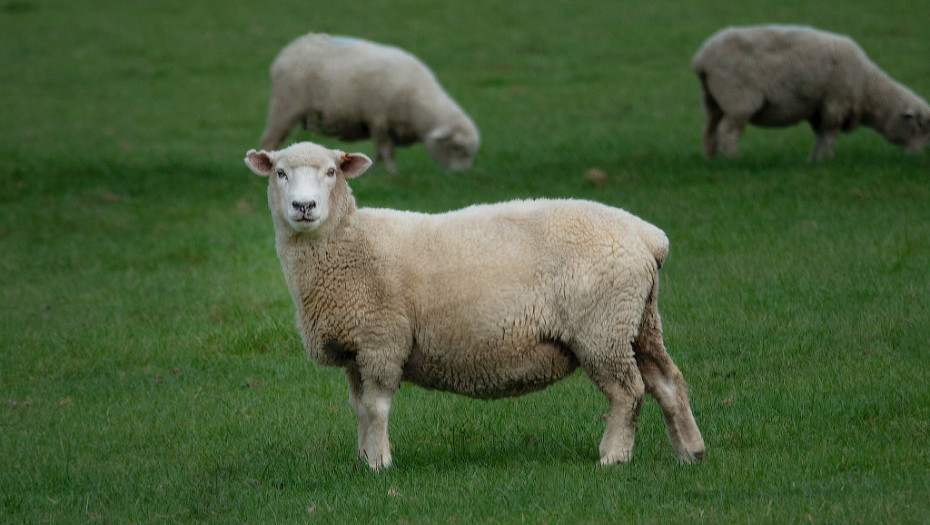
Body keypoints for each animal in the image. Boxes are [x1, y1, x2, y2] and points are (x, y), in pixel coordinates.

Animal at [241, 140, 704, 470]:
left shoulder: (382, 340)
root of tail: (647, 237)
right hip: (639, 320)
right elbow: (358, 410)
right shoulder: (356, 348)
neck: (349, 245)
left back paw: (613, 456)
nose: (304, 207)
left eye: (331, 171)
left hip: (602, 326)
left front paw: (379, 463)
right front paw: (362, 458)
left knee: (628, 391)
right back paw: (690, 452)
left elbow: (376, 408)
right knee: (667, 381)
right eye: (280, 172)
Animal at [260, 33, 482, 174]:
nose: (461, 175)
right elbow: (387, 151)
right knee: (268, 141)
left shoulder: (383, 125)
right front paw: (393, 174)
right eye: (456, 148)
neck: (417, 108)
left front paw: (373, 172)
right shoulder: (379, 120)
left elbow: (379, 152)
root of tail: (287, 51)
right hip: (284, 106)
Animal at [688, 25, 928, 160]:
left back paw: (711, 159)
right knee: (727, 132)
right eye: (920, 126)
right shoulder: (835, 103)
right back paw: (734, 159)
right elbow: (829, 135)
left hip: (712, 99)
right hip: (738, 99)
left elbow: (820, 134)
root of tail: (701, 59)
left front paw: (813, 160)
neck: (867, 88)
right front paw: (826, 160)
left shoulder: (818, 109)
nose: (917, 156)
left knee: (709, 130)